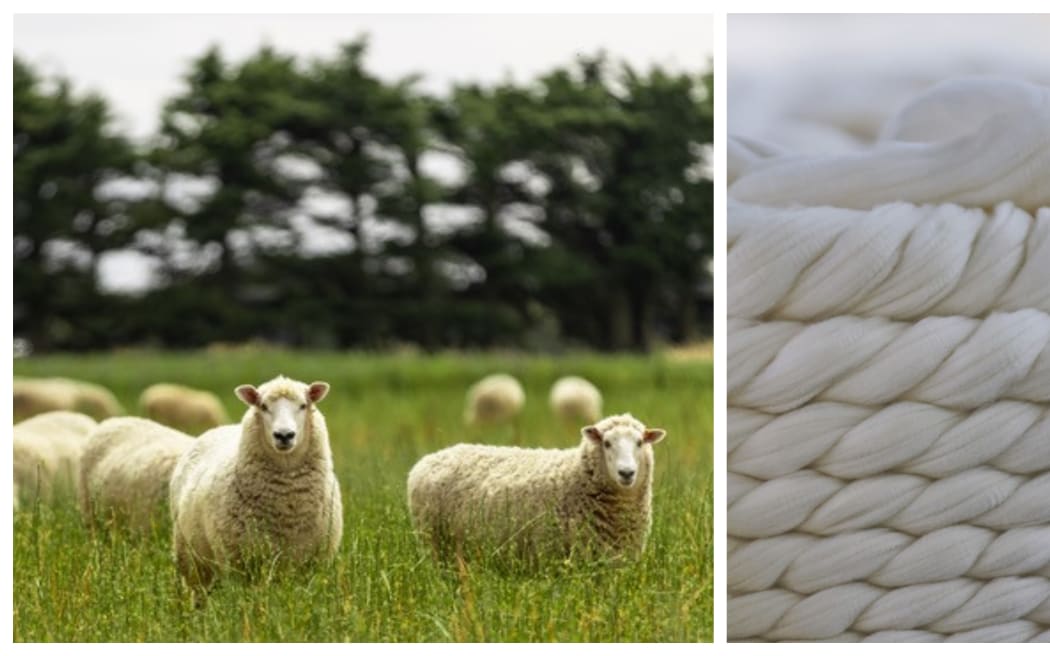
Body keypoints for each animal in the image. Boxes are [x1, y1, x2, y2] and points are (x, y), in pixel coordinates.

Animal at [169, 375, 342, 587]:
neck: (287, 504)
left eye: (303, 405)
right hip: (191, 558)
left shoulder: (314, 563)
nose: (284, 435)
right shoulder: (237, 563)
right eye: (263, 406)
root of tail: (219, 428)